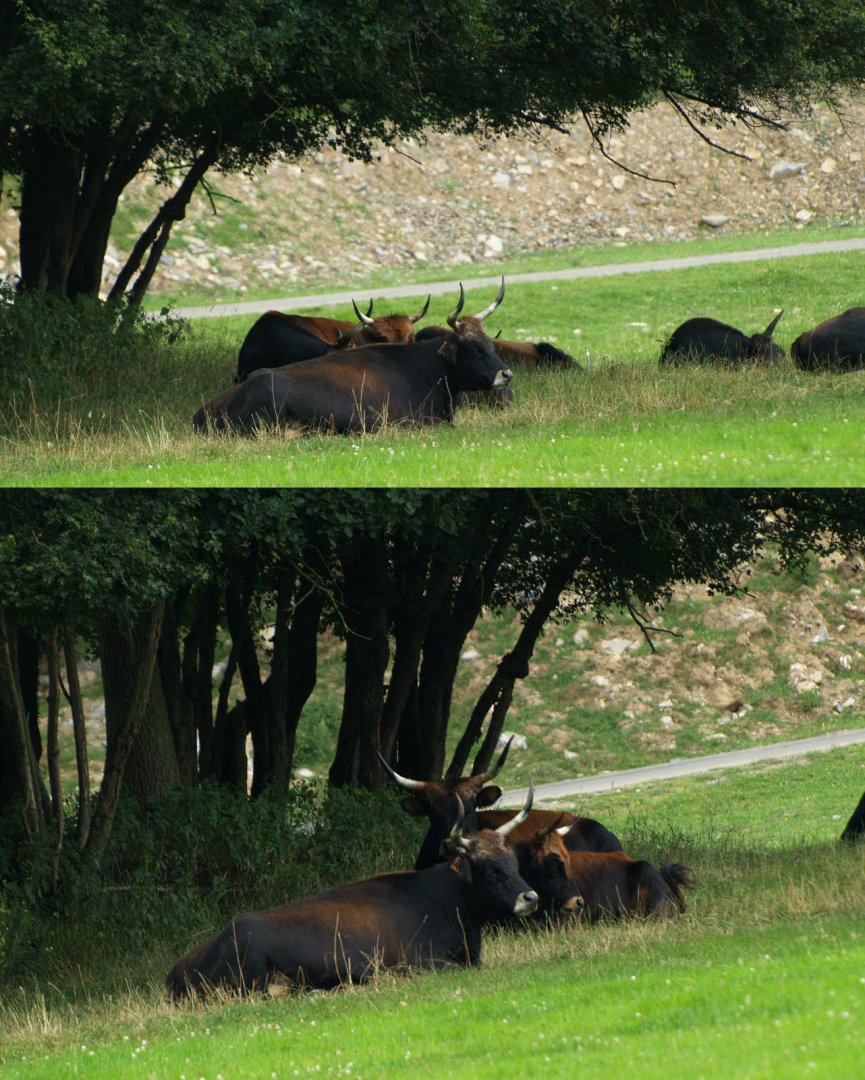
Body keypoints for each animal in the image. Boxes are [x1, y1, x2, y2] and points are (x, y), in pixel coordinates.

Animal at [165, 790, 539, 998]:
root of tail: (176, 970)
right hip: (254, 974)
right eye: (489, 868)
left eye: (513, 861)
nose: (530, 897)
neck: (449, 903)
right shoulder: (421, 963)